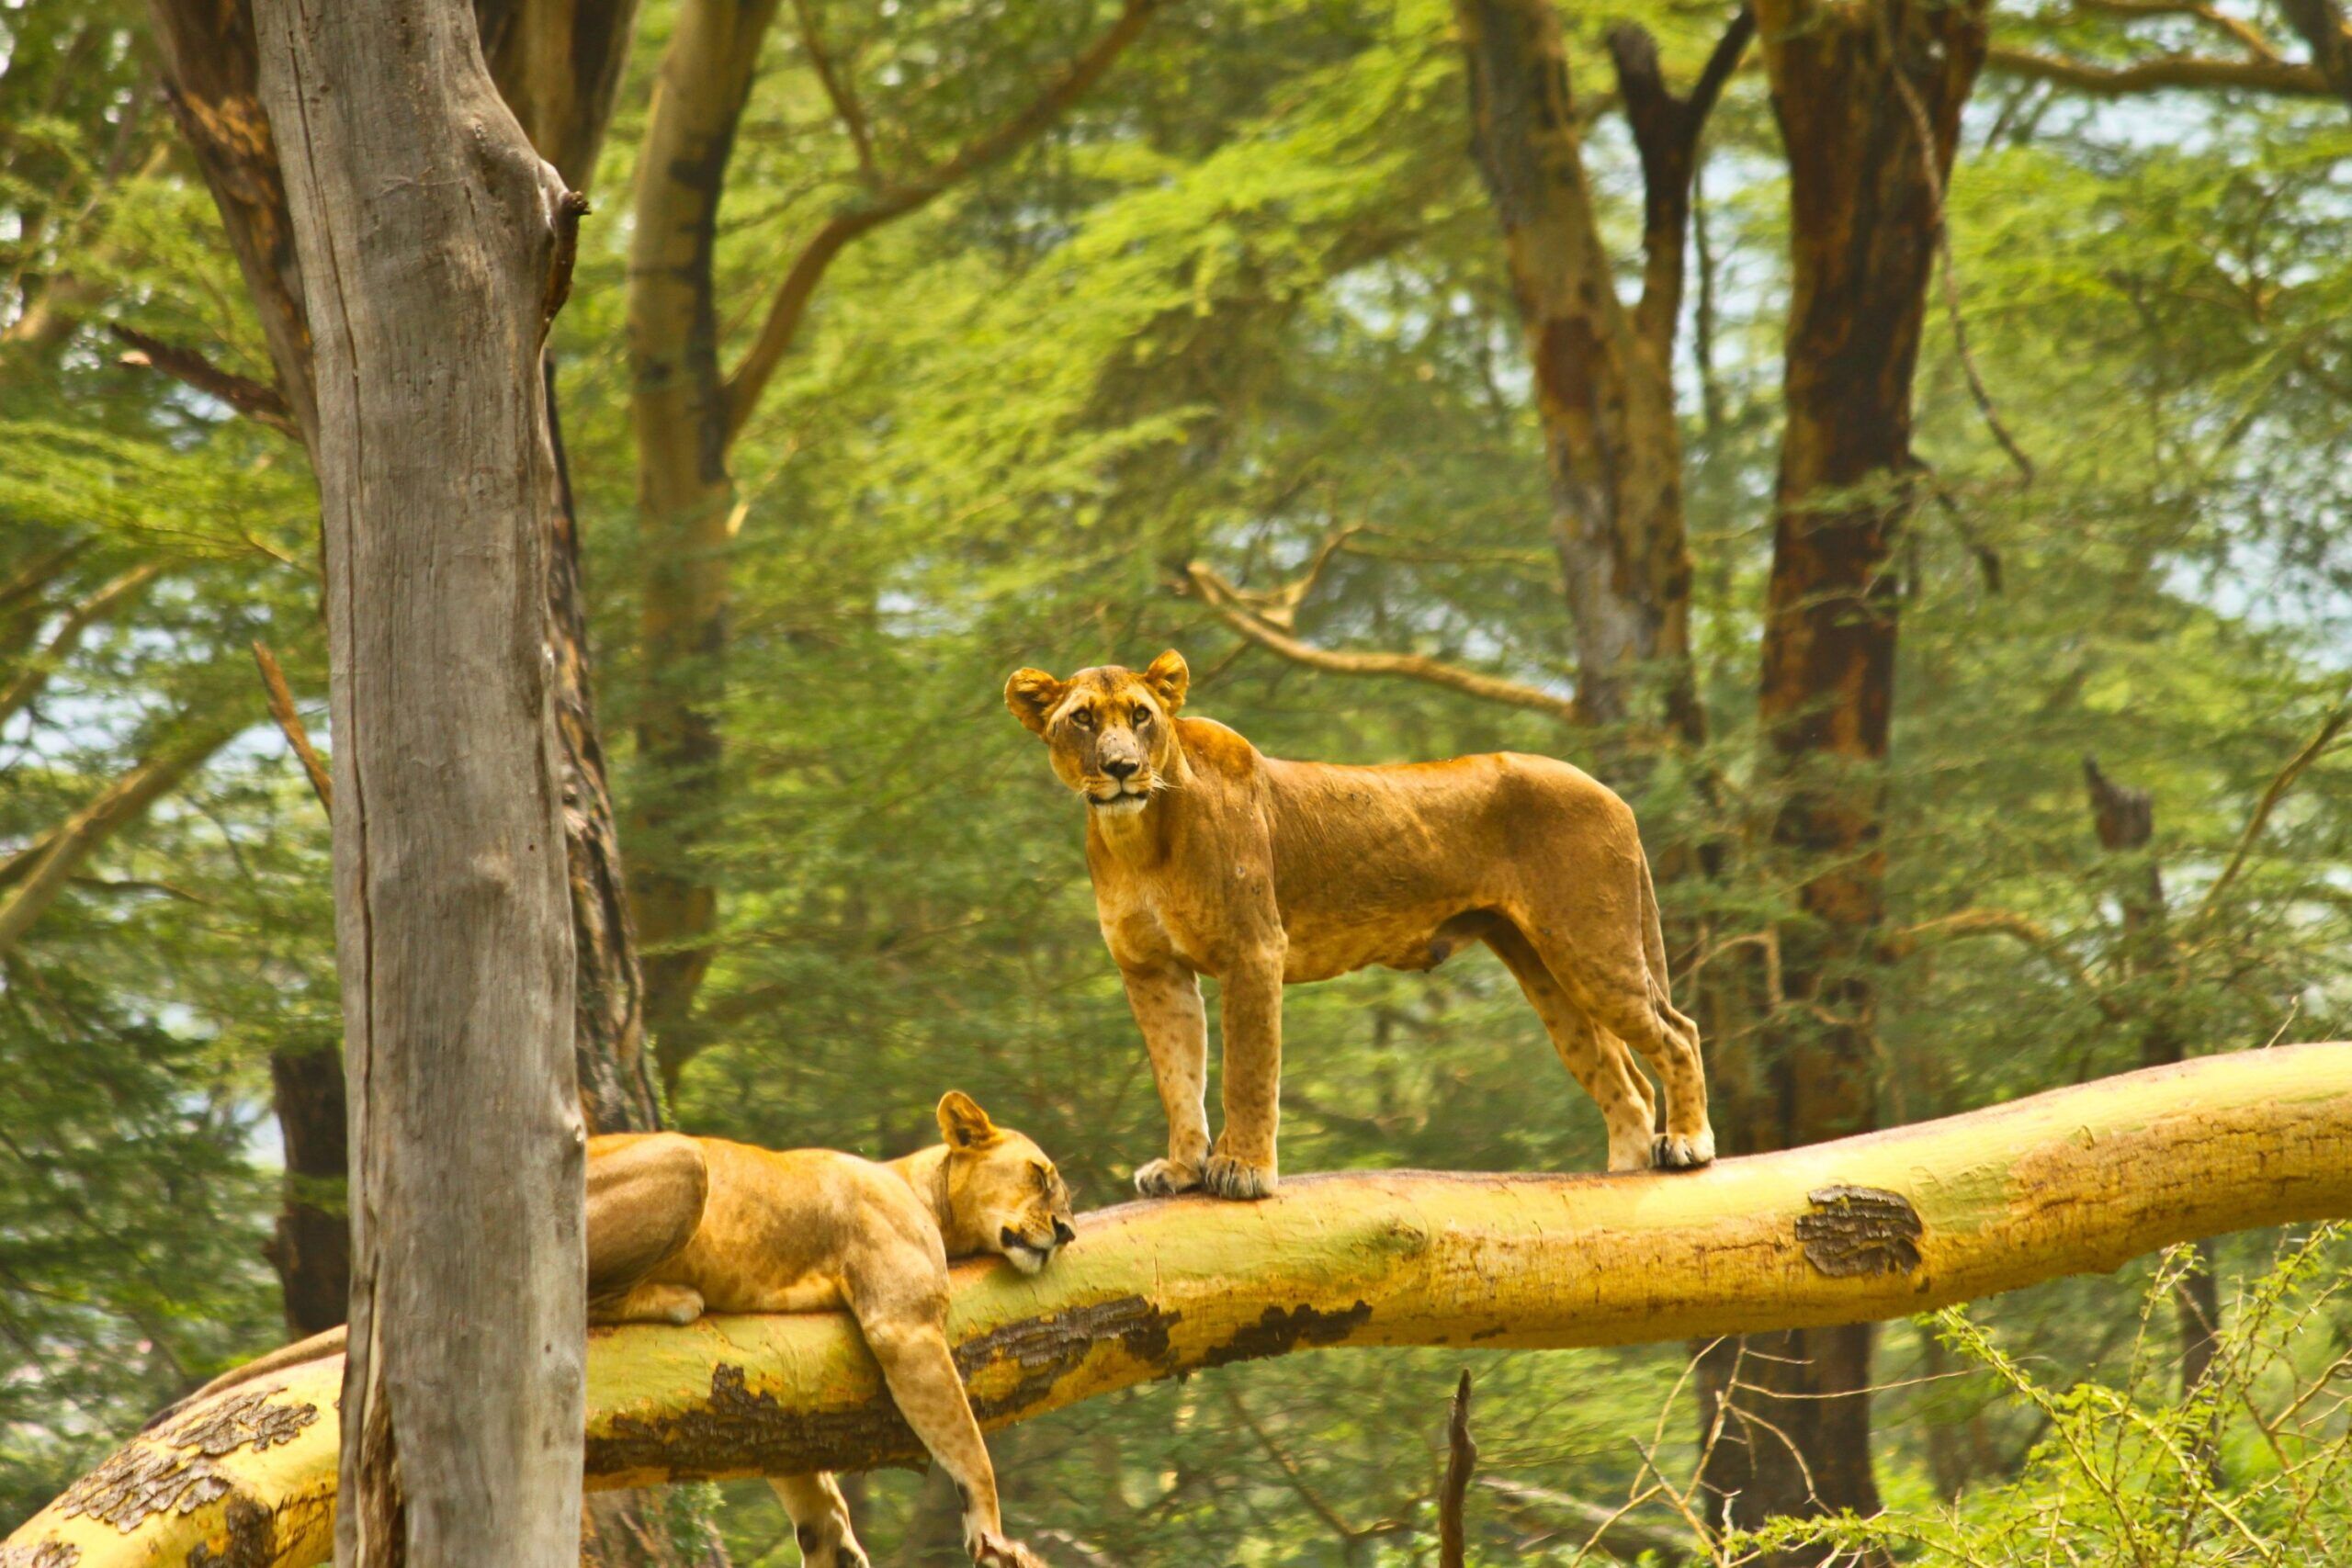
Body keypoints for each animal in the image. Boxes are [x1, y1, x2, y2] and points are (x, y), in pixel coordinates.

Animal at [154, 1093, 1075, 1568]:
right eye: (1042, 1175)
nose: (1066, 1232)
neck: (920, 1185)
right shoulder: (903, 1321)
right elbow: (966, 1443)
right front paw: (991, 1529)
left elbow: (801, 1469)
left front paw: (834, 1540)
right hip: (676, 1161)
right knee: (569, 1300)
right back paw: (672, 1297)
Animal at [1005, 650, 1712, 1200]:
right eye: (1083, 719)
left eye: (1141, 717)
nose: (1122, 768)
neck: (1138, 836)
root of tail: (1611, 792)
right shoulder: (1152, 969)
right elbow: (1178, 1074)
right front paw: (1181, 1167)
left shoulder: (1254, 949)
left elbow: (1248, 1070)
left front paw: (1242, 1169)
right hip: (1544, 965)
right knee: (1624, 1081)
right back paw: (1620, 1177)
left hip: (1592, 946)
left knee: (1678, 1031)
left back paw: (1686, 1144)